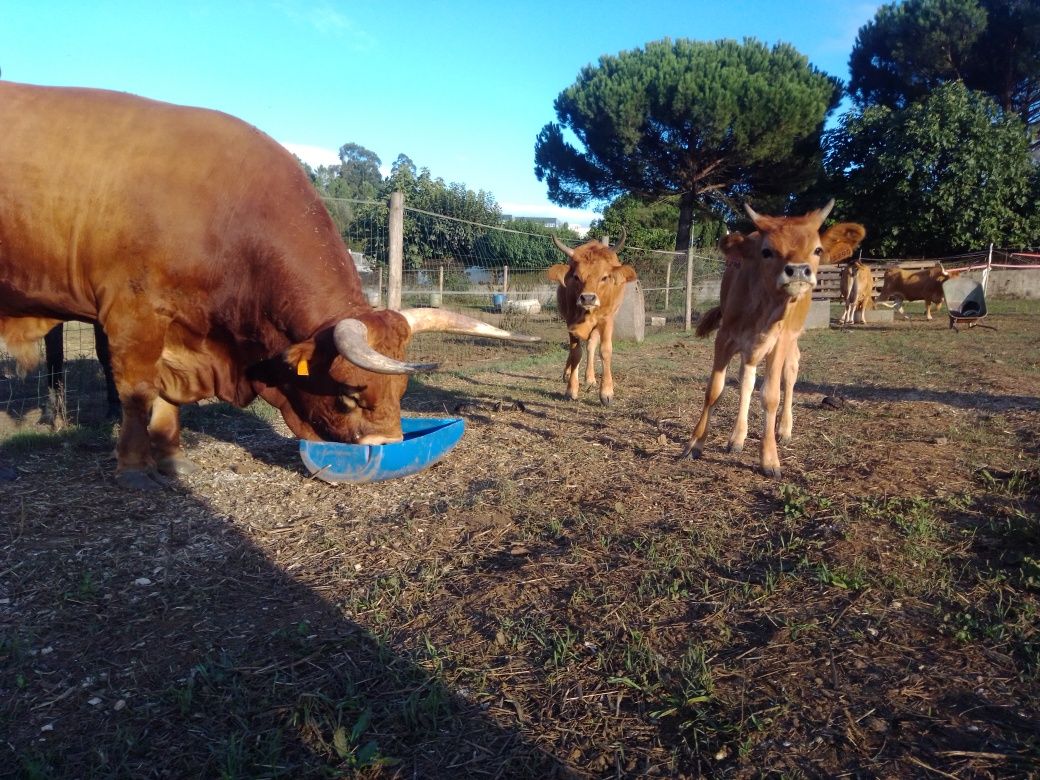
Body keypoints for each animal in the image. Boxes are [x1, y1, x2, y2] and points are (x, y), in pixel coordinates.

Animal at [0, 84, 536, 488]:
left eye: (404, 390)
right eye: (349, 395)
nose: (386, 449)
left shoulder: (180, 330)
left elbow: (168, 398)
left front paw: (174, 459)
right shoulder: (132, 315)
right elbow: (138, 391)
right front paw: (135, 468)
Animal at [549, 231, 636, 405]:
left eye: (604, 277)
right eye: (576, 277)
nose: (588, 298)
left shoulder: (607, 320)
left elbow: (605, 350)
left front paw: (606, 392)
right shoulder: (570, 322)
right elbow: (575, 353)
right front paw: (571, 389)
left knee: (591, 345)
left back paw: (590, 378)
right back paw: (568, 373)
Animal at [682, 201, 869, 480]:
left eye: (817, 249)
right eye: (767, 251)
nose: (799, 270)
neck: (762, 309)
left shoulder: (779, 341)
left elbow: (770, 396)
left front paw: (769, 458)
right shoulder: (725, 337)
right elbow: (715, 390)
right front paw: (695, 443)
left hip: (791, 340)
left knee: (789, 375)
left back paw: (784, 429)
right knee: (747, 381)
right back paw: (737, 437)